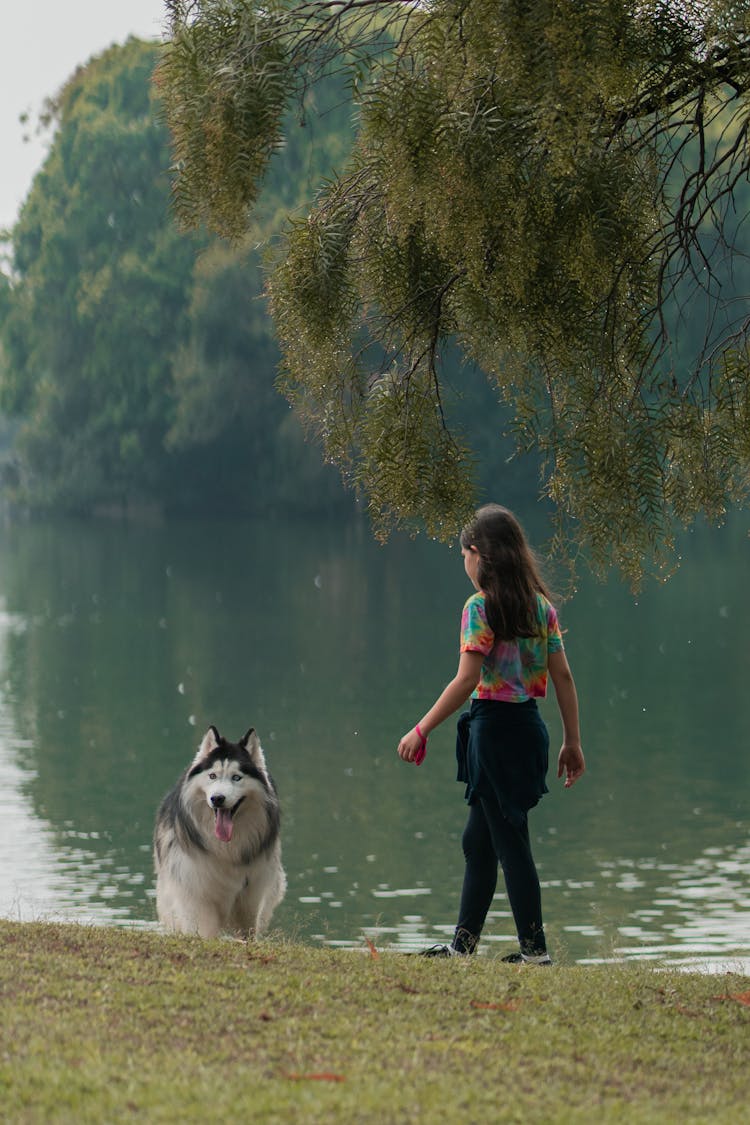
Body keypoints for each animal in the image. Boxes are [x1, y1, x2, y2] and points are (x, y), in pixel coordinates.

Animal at [154, 724, 285, 936]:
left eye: (237, 777)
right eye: (212, 776)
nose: (217, 798)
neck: (226, 848)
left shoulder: (251, 893)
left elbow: (248, 928)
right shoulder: (195, 888)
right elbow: (203, 929)